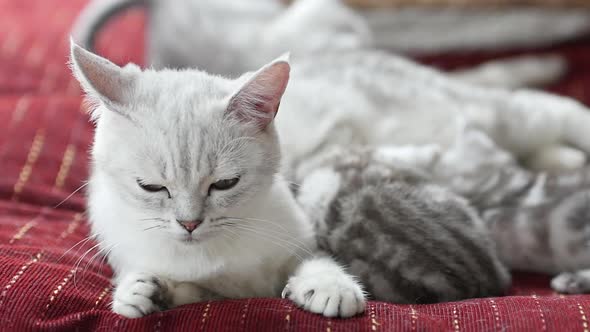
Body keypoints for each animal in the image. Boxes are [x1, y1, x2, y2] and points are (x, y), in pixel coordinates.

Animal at [69, 40, 590, 318]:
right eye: (152, 188)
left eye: (224, 185)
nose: (190, 224)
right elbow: (193, 289)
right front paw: (143, 292)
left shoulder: (305, 231)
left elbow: (312, 262)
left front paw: (329, 289)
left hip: (491, 115)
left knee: (545, 106)